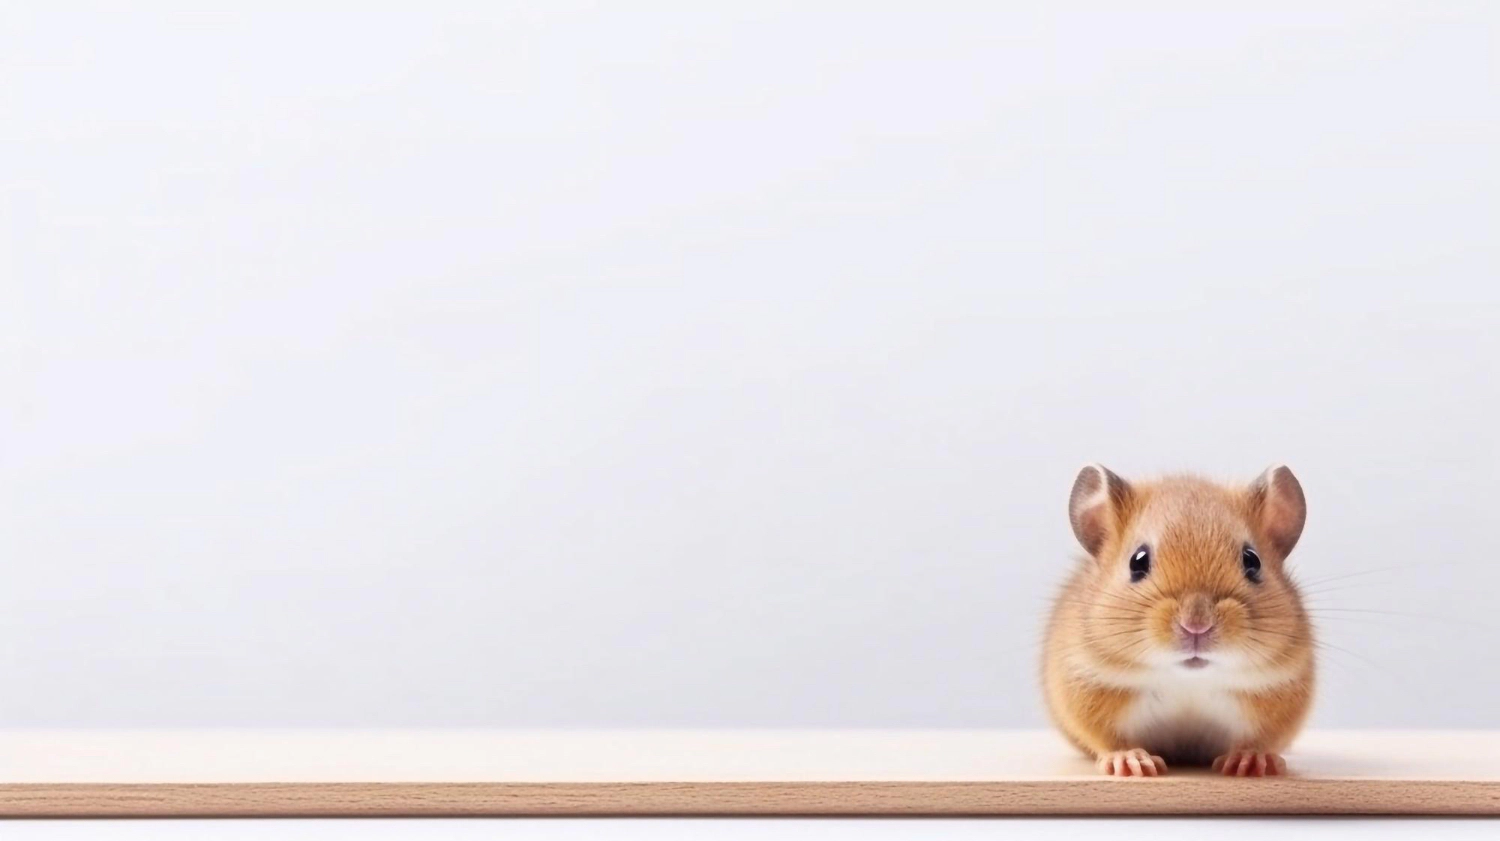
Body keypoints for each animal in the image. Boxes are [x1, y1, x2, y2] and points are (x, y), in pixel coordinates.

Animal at [1042, 464, 1314, 777]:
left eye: (1252, 561)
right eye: (1137, 561)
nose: (1196, 625)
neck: (1188, 680)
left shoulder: (1282, 689)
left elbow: (1260, 740)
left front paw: (1251, 762)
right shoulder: (1086, 687)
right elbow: (1111, 739)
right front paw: (1133, 763)